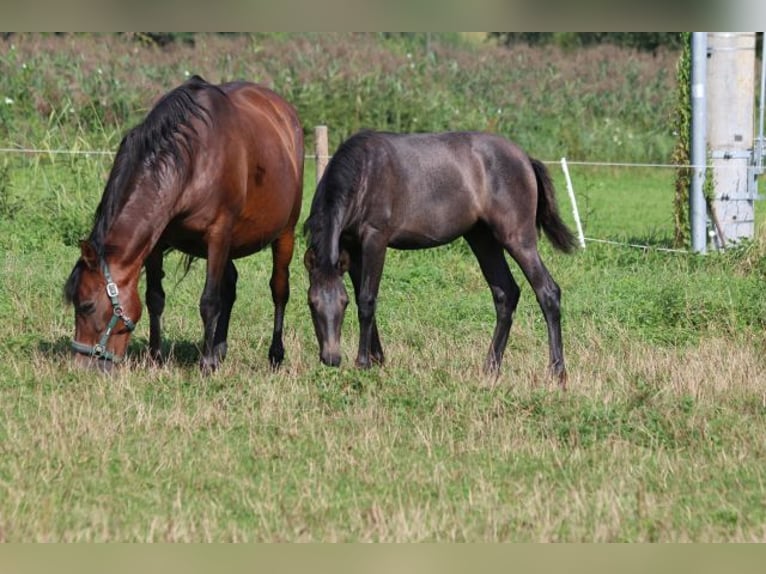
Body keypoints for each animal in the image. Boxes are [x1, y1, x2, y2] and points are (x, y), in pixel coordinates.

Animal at [63, 75, 304, 374]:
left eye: (86, 306)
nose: (80, 366)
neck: (193, 161)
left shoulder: (218, 234)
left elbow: (209, 301)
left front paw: (205, 365)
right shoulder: (157, 241)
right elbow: (155, 297)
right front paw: (155, 357)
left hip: (285, 233)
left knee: (279, 290)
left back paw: (274, 355)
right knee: (230, 285)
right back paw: (219, 349)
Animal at [304, 130, 580, 390]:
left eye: (343, 304)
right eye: (312, 303)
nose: (331, 358)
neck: (364, 173)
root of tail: (525, 158)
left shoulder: (375, 240)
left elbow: (367, 301)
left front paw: (363, 364)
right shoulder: (352, 247)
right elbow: (364, 297)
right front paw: (378, 360)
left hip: (517, 239)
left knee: (547, 292)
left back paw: (557, 373)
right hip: (482, 239)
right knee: (506, 294)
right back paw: (490, 369)